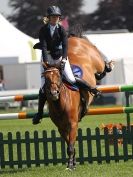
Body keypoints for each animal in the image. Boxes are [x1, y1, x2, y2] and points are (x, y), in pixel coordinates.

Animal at [43, 35, 105, 169]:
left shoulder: (73, 124)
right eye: (45, 78)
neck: (60, 104)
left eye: (58, 76)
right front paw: (73, 161)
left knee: (102, 67)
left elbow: (70, 146)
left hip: (97, 60)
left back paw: (108, 66)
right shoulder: (61, 127)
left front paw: (70, 165)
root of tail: (74, 38)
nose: (53, 93)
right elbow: (69, 144)